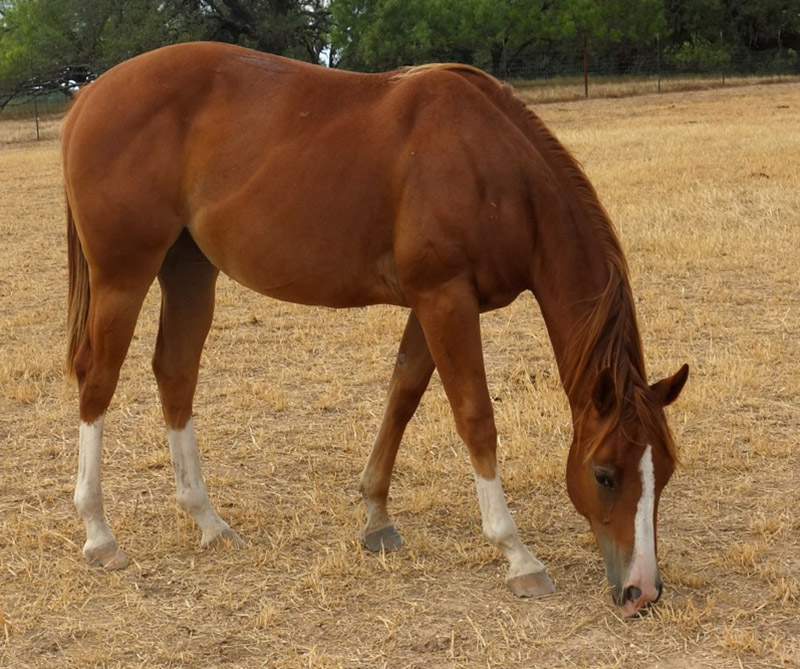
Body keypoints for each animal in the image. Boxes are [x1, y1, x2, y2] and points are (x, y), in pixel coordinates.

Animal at [62, 41, 688, 616]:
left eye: (665, 470)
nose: (643, 591)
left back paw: (208, 520)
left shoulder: (433, 303)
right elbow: (475, 419)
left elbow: (403, 395)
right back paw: (100, 533)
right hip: (123, 277)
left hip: (189, 270)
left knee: (175, 374)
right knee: (98, 380)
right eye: (604, 475)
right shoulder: (445, 299)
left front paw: (376, 516)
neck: (494, 166)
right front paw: (517, 555)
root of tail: (88, 95)